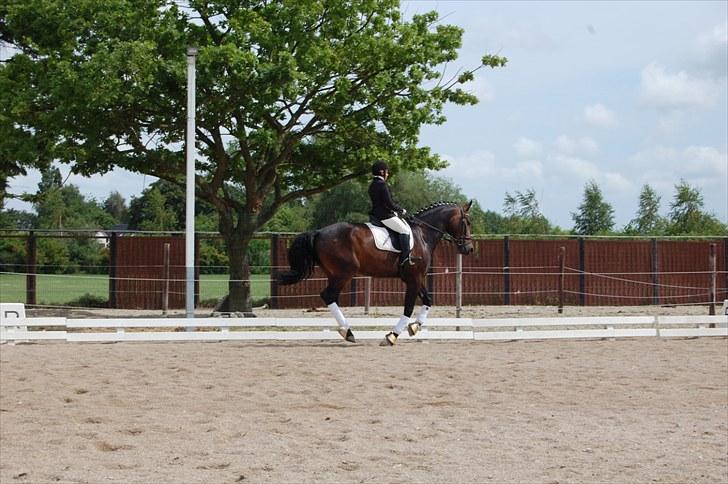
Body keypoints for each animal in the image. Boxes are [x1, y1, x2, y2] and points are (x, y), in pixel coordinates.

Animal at [276, 200, 474, 344]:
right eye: (467, 222)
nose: (469, 249)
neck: (423, 234)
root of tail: (318, 232)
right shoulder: (413, 278)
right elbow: (409, 307)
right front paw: (392, 336)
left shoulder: (417, 278)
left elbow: (428, 300)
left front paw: (415, 327)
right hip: (344, 273)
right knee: (328, 295)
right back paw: (348, 332)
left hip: (335, 274)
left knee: (330, 296)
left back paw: (346, 331)